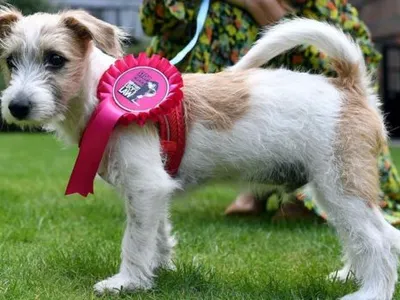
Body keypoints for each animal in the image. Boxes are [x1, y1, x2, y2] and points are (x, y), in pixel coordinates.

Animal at [0, 7, 398, 300]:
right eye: (10, 62)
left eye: (55, 59)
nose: (17, 107)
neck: (102, 92)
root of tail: (349, 85)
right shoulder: (152, 191)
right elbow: (157, 234)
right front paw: (157, 271)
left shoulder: (145, 187)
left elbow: (135, 239)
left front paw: (127, 282)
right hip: (334, 190)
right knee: (378, 237)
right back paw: (348, 276)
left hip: (341, 186)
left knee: (377, 240)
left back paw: (370, 293)